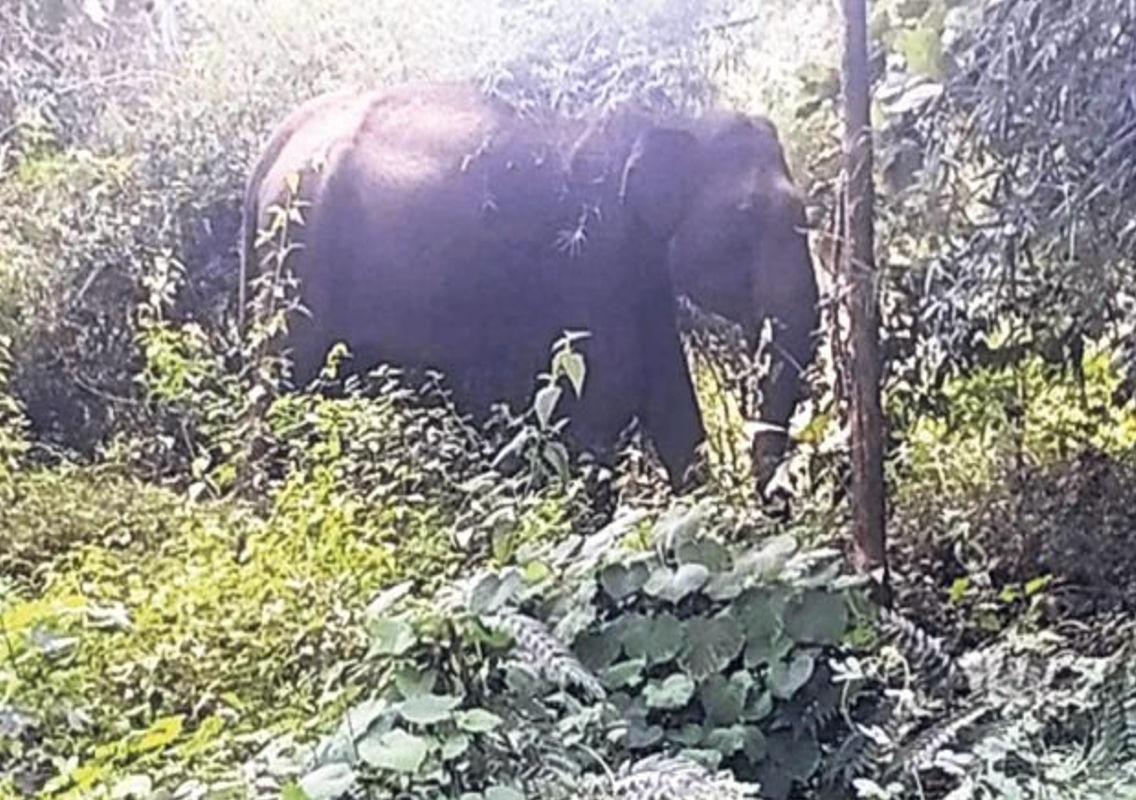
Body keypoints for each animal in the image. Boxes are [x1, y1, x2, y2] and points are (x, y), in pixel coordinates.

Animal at [238, 81, 819, 493]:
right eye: (746, 217)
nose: (774, 500)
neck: (665, 122)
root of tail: (272, 150)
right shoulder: (591, 260)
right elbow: (606, 398)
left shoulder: (639, 273)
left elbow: (669, 397)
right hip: (301, 262)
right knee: (283, 385)